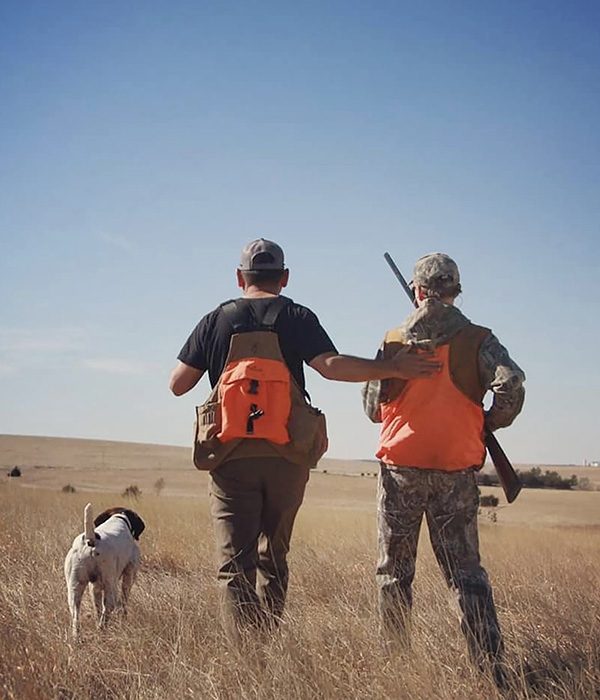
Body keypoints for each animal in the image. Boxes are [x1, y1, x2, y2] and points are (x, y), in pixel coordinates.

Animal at [64, 504, 145, 640]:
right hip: (111, 587)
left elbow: (97, 608)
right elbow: (124, 600)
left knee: (76, 616)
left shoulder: (94, 587)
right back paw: (102, 631)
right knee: (106, 612)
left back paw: (77, 638)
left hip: (74, 588)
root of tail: (91, 540)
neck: (119, 517)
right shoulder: (129, 573)